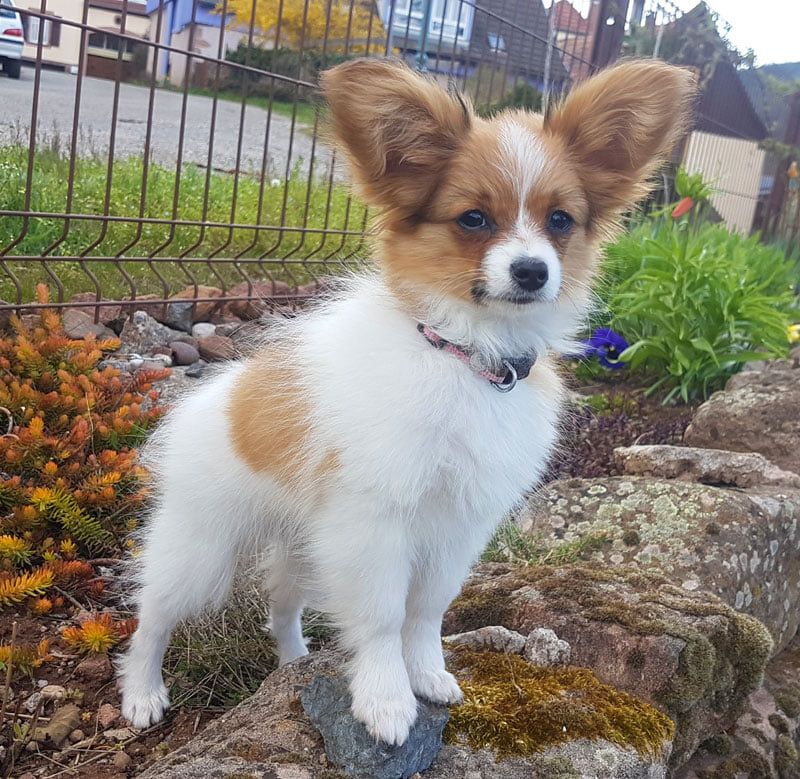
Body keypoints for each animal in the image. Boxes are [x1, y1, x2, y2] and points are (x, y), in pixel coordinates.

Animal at [117, 58, 692, 748]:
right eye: (473, 219)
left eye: (560, 220)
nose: (532, 272)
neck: (465, 355)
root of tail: (204, 399)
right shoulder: (375, 522)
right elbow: (384, 616)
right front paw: (386, 699)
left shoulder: (458, 522)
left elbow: (426, 608)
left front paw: (428, 675)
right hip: (203, 547)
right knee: (152, 614)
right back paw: (142, 693)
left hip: (304, 548)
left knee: (280, 608)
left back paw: (293, 663)